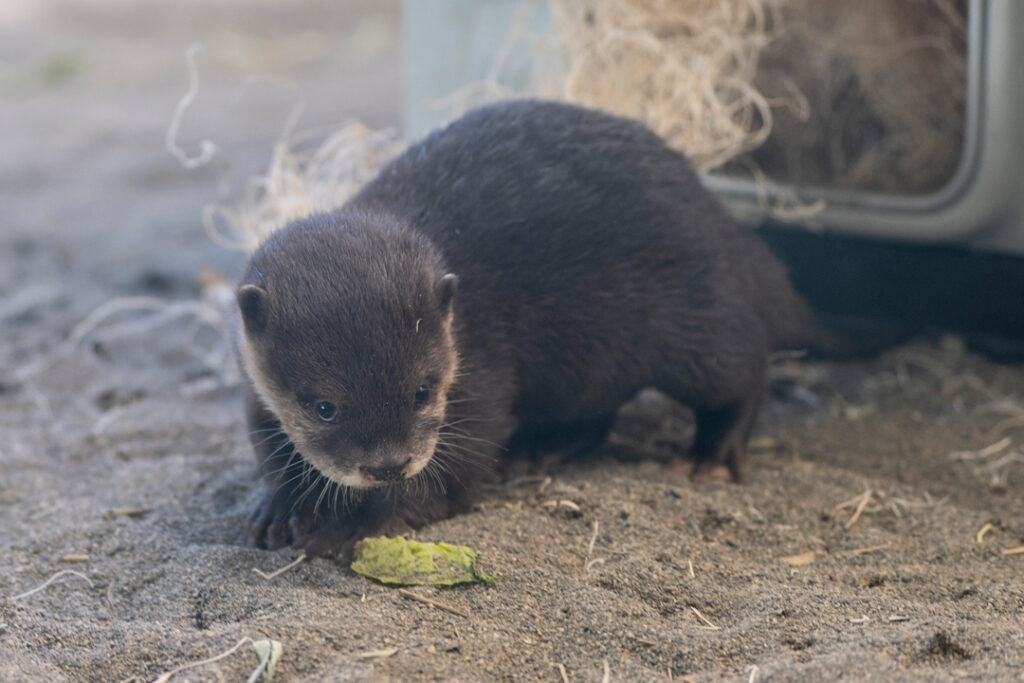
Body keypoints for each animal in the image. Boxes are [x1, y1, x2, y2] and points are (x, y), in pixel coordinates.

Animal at [237, 100, 828, 556]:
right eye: (323, 406)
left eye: (422, 392)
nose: (389, 465)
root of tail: (728, 227)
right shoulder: (255, 388)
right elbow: (272, 452)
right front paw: (280, 507)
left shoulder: (477, 373)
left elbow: (453, 471)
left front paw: (360, 523)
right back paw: (541, 448)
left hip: (699, 316)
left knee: (743, 372)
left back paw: (712, 457)